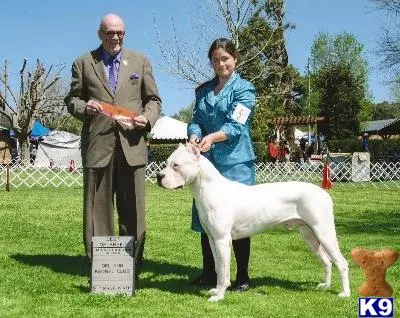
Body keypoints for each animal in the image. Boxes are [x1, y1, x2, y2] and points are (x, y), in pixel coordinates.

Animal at [157, 144, 350, 304]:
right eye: (166, 164)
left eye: (176, 165)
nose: (159, 176)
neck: (208, 188)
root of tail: (323, 192)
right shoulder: (212, 239)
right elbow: (219, 268)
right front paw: (215, 290)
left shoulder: (222, 240)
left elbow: (224, 272)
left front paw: (219, 296)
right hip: (309, 234)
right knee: (327, 261)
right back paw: (325, 286)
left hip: (324, 233)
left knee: (341, 263)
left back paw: (345, 293)